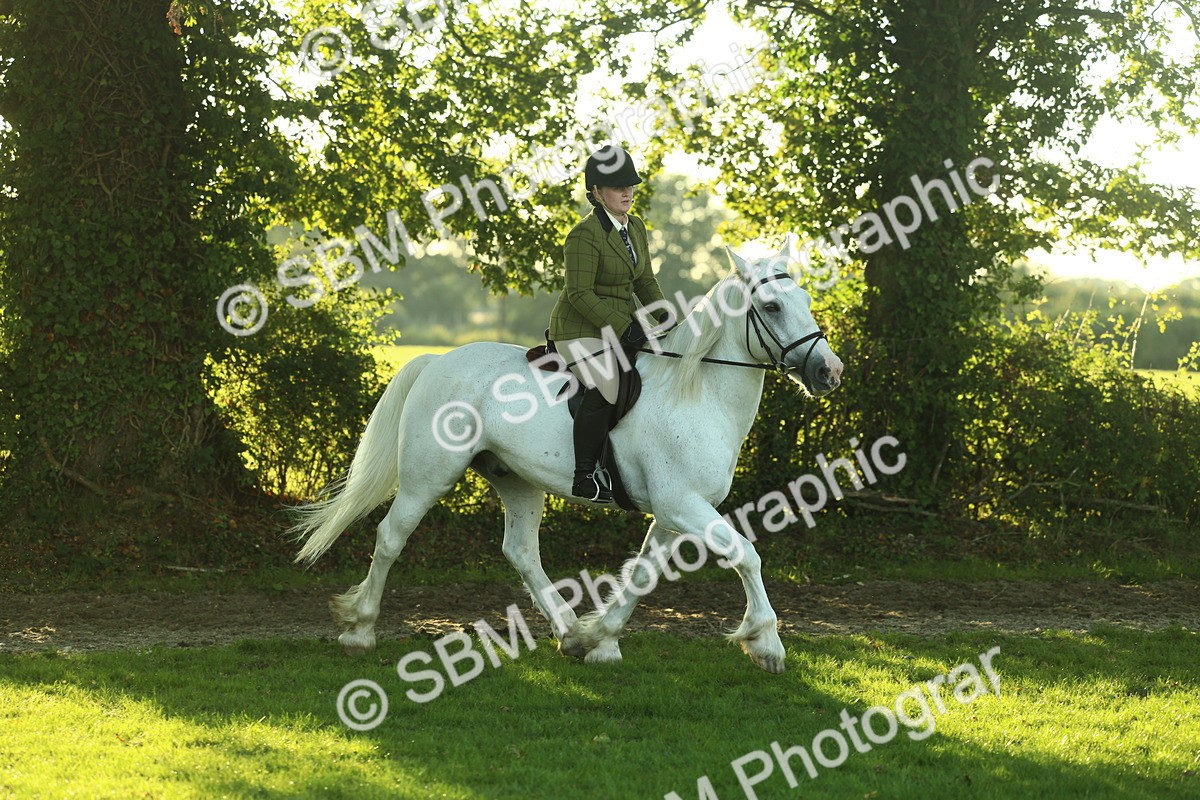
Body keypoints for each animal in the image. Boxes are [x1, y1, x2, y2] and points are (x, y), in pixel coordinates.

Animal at [290, 235, 843, 673]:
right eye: (771, 307)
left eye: (805, 297)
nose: (828, 371)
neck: (696, 392)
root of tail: (437, 360)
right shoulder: (681, 505)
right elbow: (746, 554)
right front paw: (766, 644)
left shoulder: (675, 512)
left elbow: (642, 576)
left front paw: (600, 641)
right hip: (429, 476)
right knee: (391, 537)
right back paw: (359, 632)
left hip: (515, 479)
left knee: (520, 551)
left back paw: (569, 633)